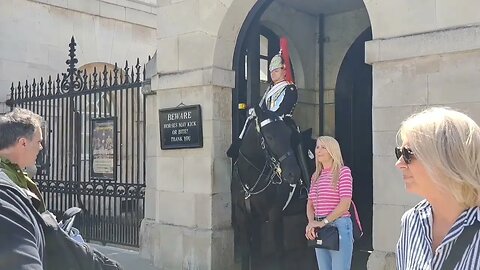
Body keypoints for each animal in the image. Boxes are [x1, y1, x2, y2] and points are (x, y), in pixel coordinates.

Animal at [228, 106, 316, 270]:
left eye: (289, 136)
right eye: (269, 137)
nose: (293, 174)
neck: (251, 178)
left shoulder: (275, 214)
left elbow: (279, 252)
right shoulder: (245, 215)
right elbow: (249, 253)